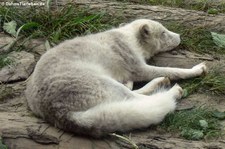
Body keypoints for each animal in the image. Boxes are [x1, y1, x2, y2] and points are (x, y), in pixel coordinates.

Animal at [25, 18, 207, 137]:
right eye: (163, 33)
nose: (180, 36)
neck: (128, 38)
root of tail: (57, 112)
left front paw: (130, 80)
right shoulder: (139, 68)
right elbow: (173, 70)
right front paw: (196, 70)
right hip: (105, 82)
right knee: (139, 99)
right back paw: (171, 90)